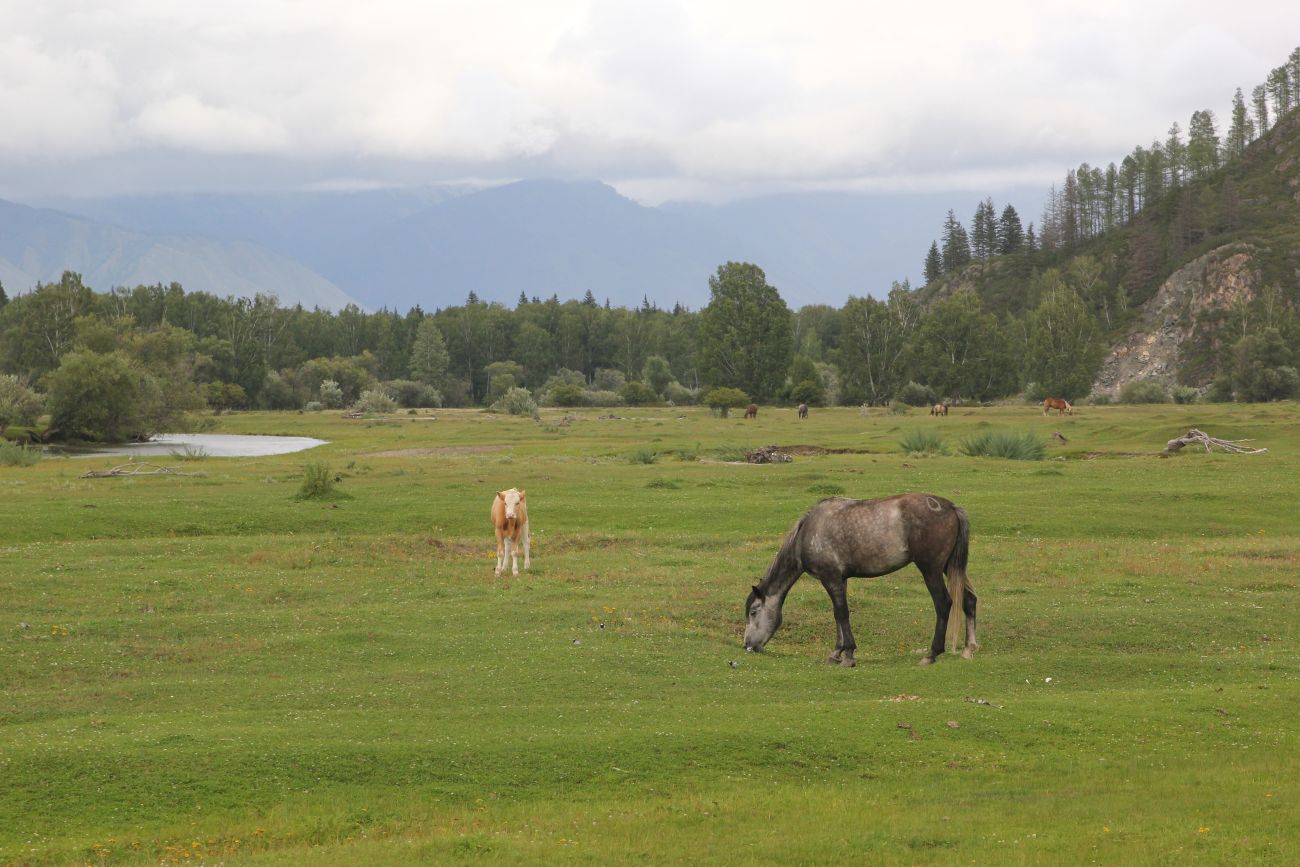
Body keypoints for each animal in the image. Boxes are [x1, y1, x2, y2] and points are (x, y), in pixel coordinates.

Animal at [743, 491, 977, 670]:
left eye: (754, 612)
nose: (747, 646)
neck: (807, 534)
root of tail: (950, 507)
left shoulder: (830, 578)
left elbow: (842, 614)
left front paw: (848, 656)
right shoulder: (839, 580)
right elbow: (837, 615)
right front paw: (837, 652)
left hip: (931, 570)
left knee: (943, 603)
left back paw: (932, 654)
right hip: (950, 568)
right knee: (969, 600)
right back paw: (969, 648)